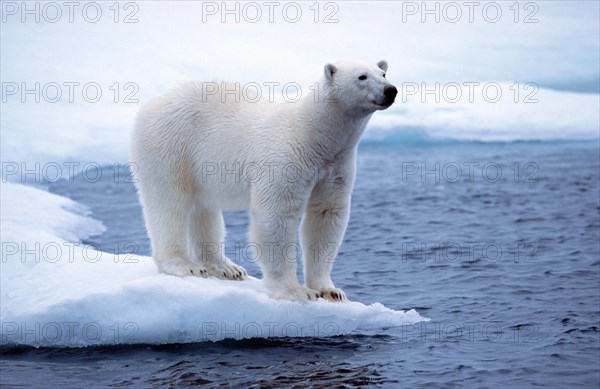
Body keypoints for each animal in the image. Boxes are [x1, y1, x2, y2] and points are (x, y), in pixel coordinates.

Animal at [129, 60, 396, 302]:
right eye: (362, 76)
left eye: (383, 72)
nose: (390, 90)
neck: (314, 134)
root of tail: (152, 104)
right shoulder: (287, 157)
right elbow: (277, 214)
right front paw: (296, 291)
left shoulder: (336, 164)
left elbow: (326, 214)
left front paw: (330, 290)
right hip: (171, 145)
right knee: (169, 202)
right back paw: (184, 264)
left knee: (203, 208)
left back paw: (225, 267)